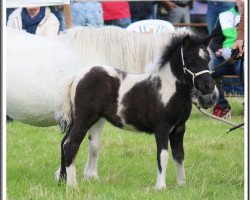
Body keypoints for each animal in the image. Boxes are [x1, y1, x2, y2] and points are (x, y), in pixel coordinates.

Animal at [55, 32, 219, 189]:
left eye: (208, 59)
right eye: (191, 60)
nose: (209, 87)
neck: (169, 87)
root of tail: (77, 77)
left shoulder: (179, 129)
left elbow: (179, 155)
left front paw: (181, 184)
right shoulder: (162, 128)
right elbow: (163, 156)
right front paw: (161, 186)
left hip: (80, 120)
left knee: (64, 143)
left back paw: (62, 180)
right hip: (84, 119)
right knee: (71, 145)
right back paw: (72, 185)